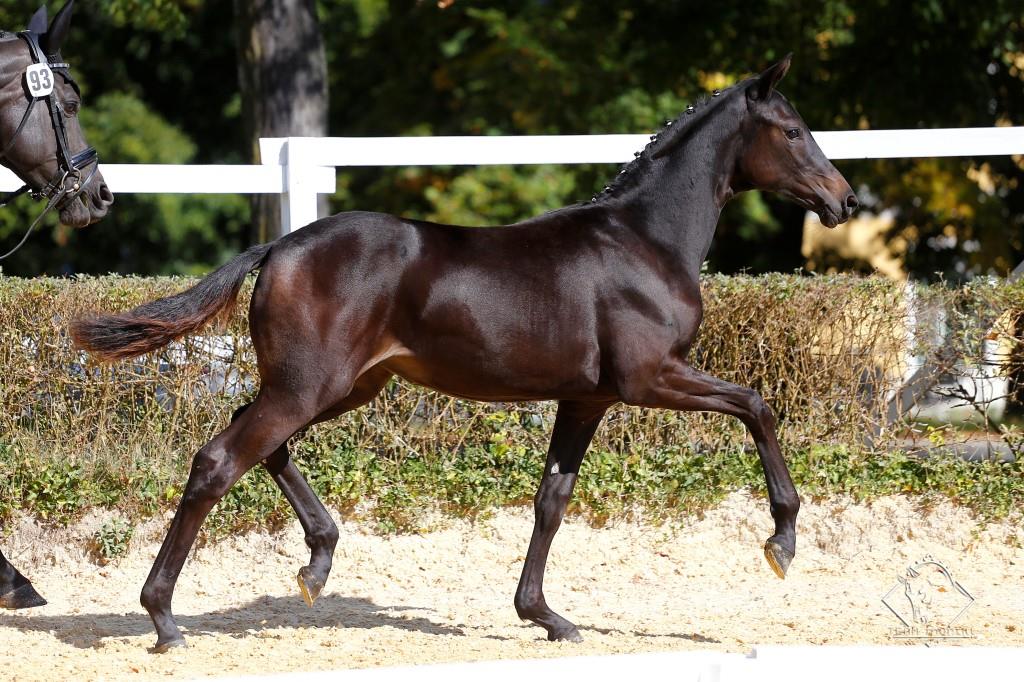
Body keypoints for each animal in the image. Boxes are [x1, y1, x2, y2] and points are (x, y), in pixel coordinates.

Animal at [72, 57, 856, 647]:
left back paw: (317, 563)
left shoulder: (588, 397)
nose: (844, 200)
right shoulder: (649, 378)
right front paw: (783, 541)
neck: (644, 240)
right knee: (218, 460)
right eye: (792, 130)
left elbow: (551, 500)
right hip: (308, 386)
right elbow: (756, 405)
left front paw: (544, 616)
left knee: (258, 443)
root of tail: (281, 245)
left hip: (340, 386)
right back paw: (165, 618)